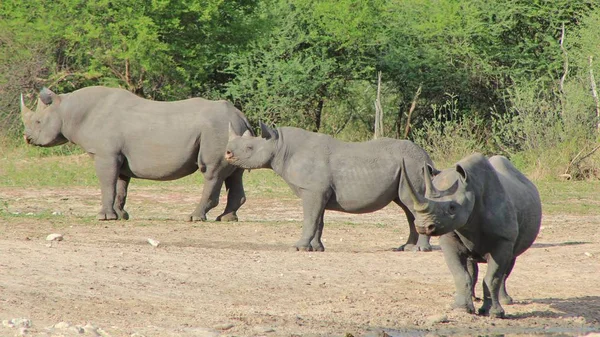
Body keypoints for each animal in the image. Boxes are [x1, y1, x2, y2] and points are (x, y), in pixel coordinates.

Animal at [21, 85, 253, 220]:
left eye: (38, 122)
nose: (27, 138)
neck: (68, 110)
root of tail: (241, 116)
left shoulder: (105, 154)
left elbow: (107, 183)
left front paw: (104, 217)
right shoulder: (118, 157)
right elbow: (120, 186)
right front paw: (121, 215)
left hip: (217, 130)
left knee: (211, 173)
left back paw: (194, 217)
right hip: (232, 134)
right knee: (234, 175)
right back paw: (226, 219)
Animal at [225, 122, 436, 251]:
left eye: (249, 148)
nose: (227, 153)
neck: (279, 146)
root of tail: (426, 157)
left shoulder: (312, 191)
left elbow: (310, 219)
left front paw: (298, 247)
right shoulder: (319, 191)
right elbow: (318, 221)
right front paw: (316, 248)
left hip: (412, 165)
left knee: (411, 204)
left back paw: (419, 249)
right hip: (407, 167)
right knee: (407, 207)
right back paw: (405, 248)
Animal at [398, 154, 544, 316]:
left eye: (452, 208)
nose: (423, 226)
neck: (472, 189)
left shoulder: (504, 240)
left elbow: (493, 277)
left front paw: (494, 313)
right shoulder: (449, 236)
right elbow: (460, 274)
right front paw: (461, 308)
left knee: (509, 262)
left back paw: (506, 301)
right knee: (472, 264)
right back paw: (474, 298)